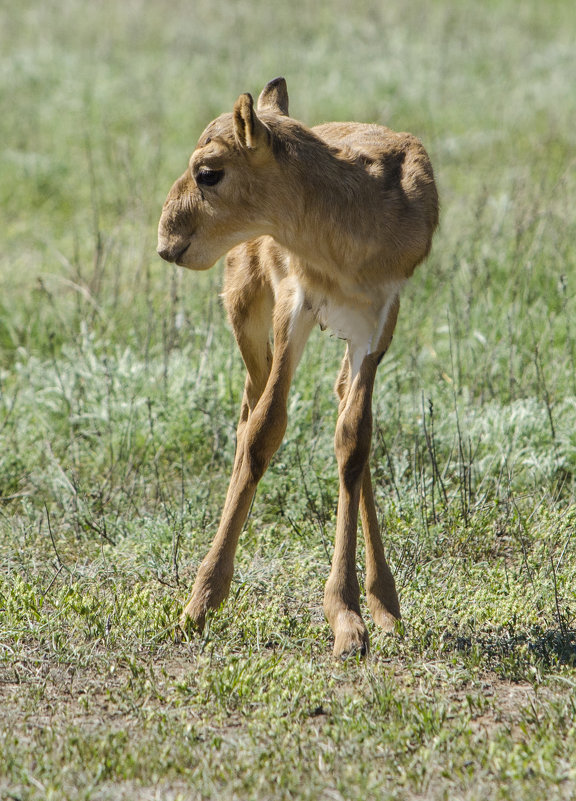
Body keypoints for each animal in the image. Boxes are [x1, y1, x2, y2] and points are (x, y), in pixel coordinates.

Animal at [156, 76, 436, 656]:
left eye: (208, 171)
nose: (166, 241)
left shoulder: (379, 322)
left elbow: (353, 440)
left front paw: (350, 617)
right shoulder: (295, 304)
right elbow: (264, 431)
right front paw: (197, 607)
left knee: (342, 407)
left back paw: (386, 605)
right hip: (247, 314)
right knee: (249, 411)